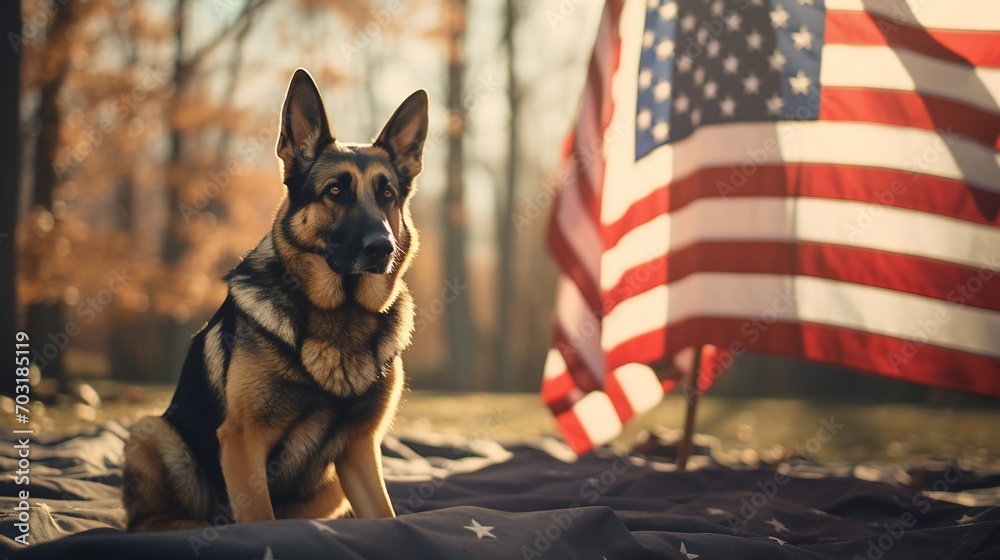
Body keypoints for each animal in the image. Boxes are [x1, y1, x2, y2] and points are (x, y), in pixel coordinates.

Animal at [120, 69, 426, 528]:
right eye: (335, 191)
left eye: (387, 195)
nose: (381, 248)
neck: (341, 313)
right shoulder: (243, 443)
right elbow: (259, 521)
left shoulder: (360, 451)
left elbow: (385, 516)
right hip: (151, 432)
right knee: (149, 520)